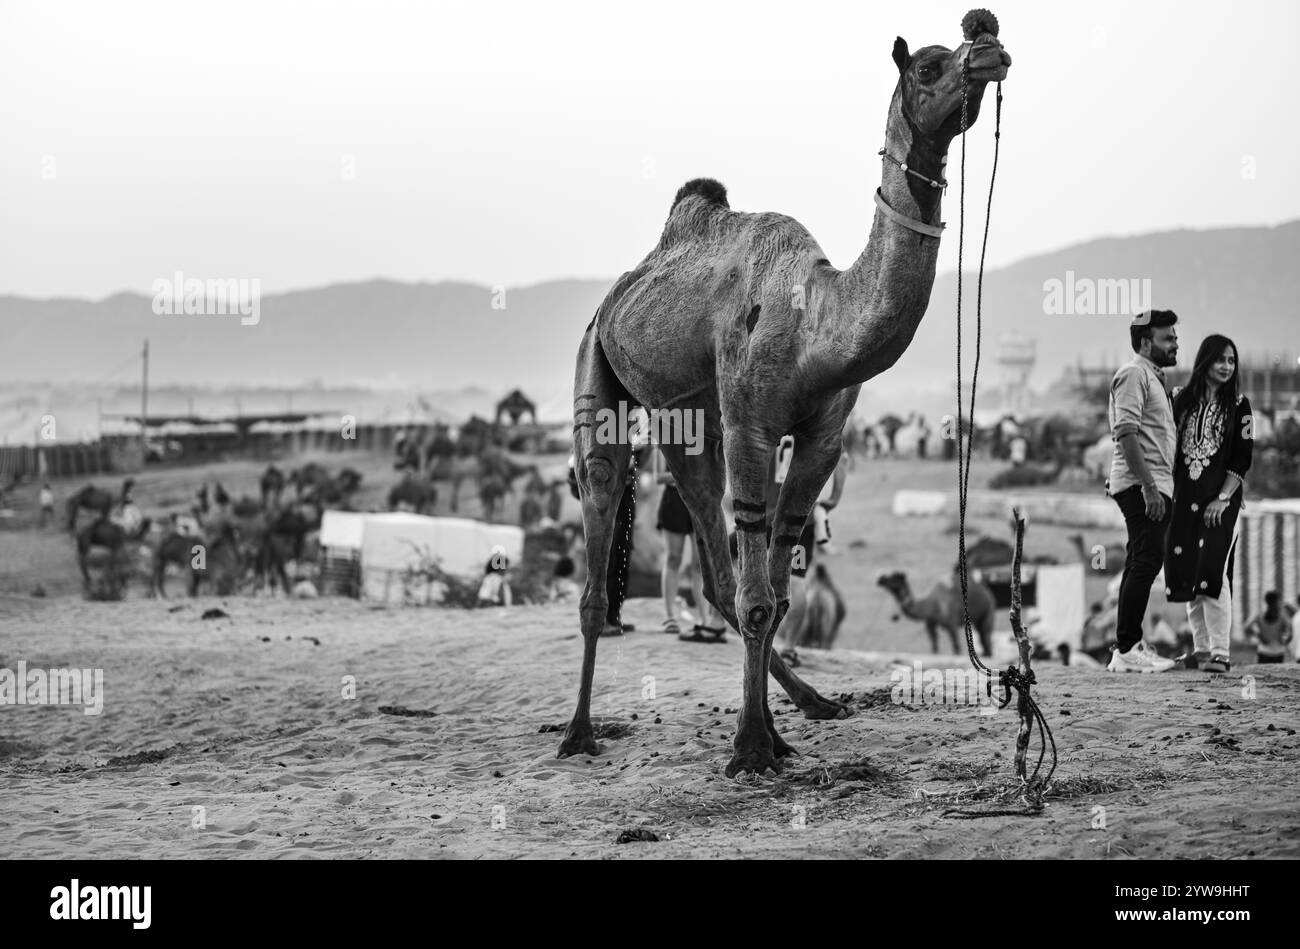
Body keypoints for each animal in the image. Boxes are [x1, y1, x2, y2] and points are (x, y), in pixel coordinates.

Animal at [560, 11, 1011, 776]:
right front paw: (749, 748)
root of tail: (618, 292)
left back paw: (814, 702)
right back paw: (579, 731)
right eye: (928, 66)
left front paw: (774, 734)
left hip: (689, 421)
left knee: (715, 563)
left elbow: (777, 587)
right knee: (602, 504)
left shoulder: (822, 438)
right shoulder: (752, 425)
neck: (814, 321)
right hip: (600, 365)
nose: (989, 43)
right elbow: (759, 597)